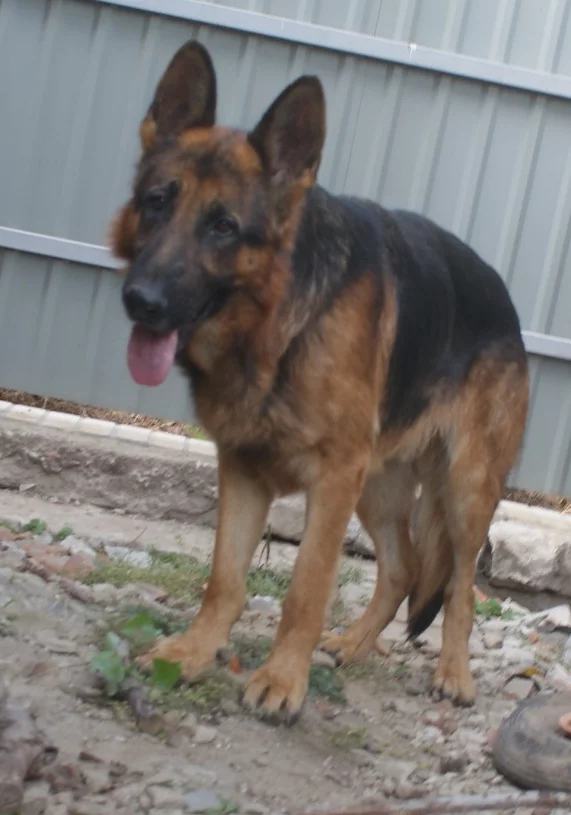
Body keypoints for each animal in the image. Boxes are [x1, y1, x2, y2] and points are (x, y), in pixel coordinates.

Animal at [111, 40, 529, 724]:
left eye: (224, 226)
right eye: (156, 201)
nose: (141, 301)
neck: (275, 325)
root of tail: (506, 302)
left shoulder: (332, 478)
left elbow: (305, 588)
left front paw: (282, 679)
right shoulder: (243, 468)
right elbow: (224, 578)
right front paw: (195, 652)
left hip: (463, 491)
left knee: (460, 585)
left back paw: (454, 674)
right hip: (379, 486)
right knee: (402, 568)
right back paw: (355, 644)